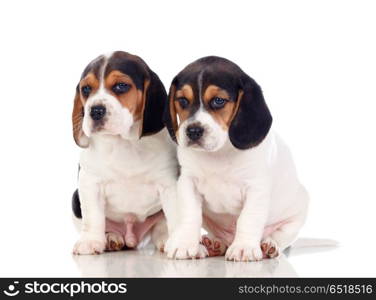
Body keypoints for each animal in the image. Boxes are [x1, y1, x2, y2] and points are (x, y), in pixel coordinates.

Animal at [72, 51, 178, 255]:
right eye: (86, 89)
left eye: (121, 86)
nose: (95, 111)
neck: (123, 142)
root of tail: (131, 237)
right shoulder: (90, 184)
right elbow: (93, 217)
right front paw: (90, 241)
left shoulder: (169, 185)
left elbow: (178, 216)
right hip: (75, 198)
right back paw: (111, 238)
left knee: (161, 225)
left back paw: (165, 239)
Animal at [164, 55, 308, 260]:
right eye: (182, 100)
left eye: (218, 101)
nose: (193, 131)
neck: (220, 152)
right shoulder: (187, 182)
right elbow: (190, 214)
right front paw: (184, 244)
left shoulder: (256, 188)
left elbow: (248, 219)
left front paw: (244, 247)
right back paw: (214, 244)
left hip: (298, 212)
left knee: (280, 237)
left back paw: (268, 246)